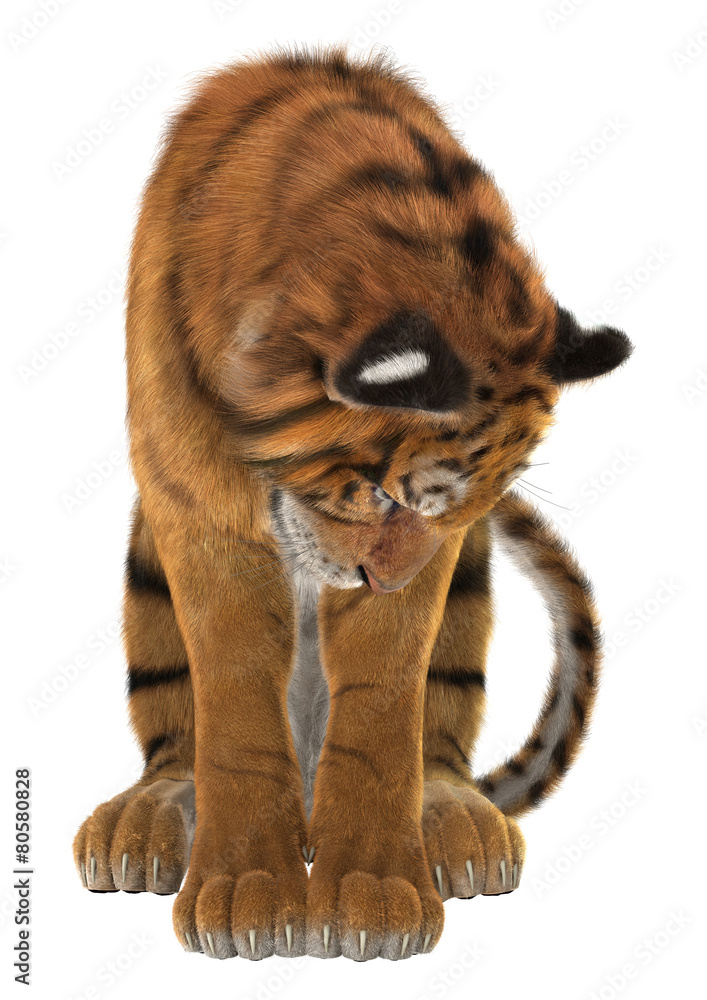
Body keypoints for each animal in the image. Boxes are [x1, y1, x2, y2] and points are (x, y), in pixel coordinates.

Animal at [72, 46, 633, 962]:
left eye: (456, 508)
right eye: (379, 493)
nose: (386, 579)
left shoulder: (430, 570)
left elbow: (379, 711)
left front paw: (375, 897)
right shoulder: (197, 508)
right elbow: (234, 697)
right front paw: (243, 894)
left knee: (435, 739)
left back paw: (456, 825)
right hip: (147, 554)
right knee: (177, 735)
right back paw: (148, 818)